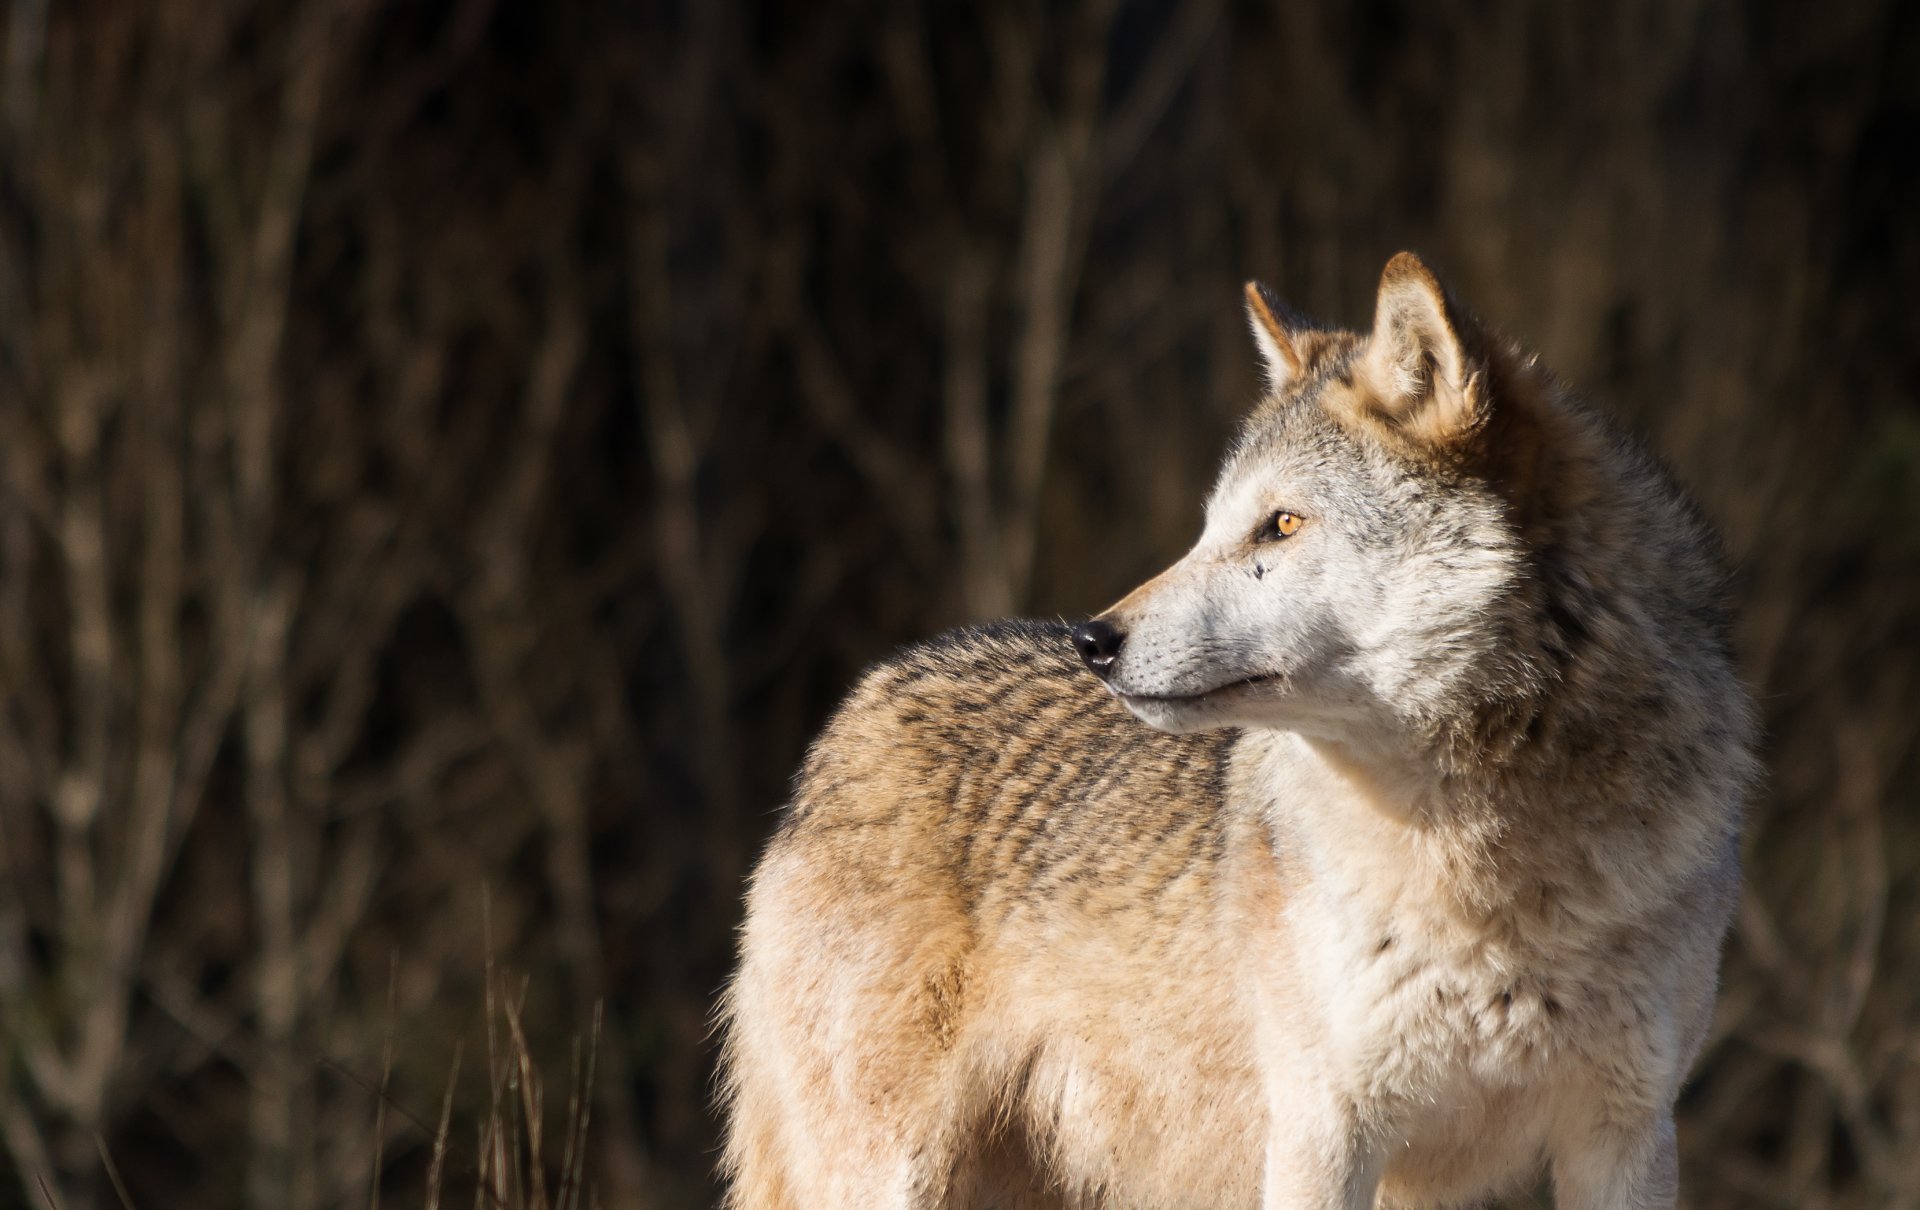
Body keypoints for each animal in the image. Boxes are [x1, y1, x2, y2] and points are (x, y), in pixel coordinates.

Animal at [718, 252, 1757, 1209]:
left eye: (1282, 525)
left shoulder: (1622, 1135)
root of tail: (858, 704)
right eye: (1213, 526)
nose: (1094, 641)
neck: (1491, 869)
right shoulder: (1324, 1130)